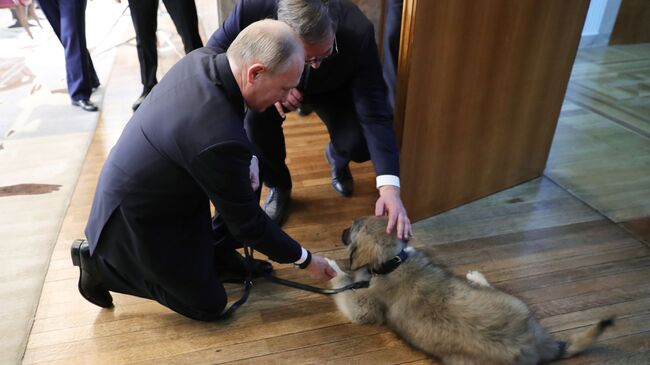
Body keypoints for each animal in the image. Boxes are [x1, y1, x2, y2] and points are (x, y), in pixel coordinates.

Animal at [330, 215, 612, 362]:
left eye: (351, 228)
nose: (341, 230)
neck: (393, 261)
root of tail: (535, 342)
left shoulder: (363, 307)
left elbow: (344, 286)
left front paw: (331, 268)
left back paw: (476, 276)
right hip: (512, 302)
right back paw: (476, 278)